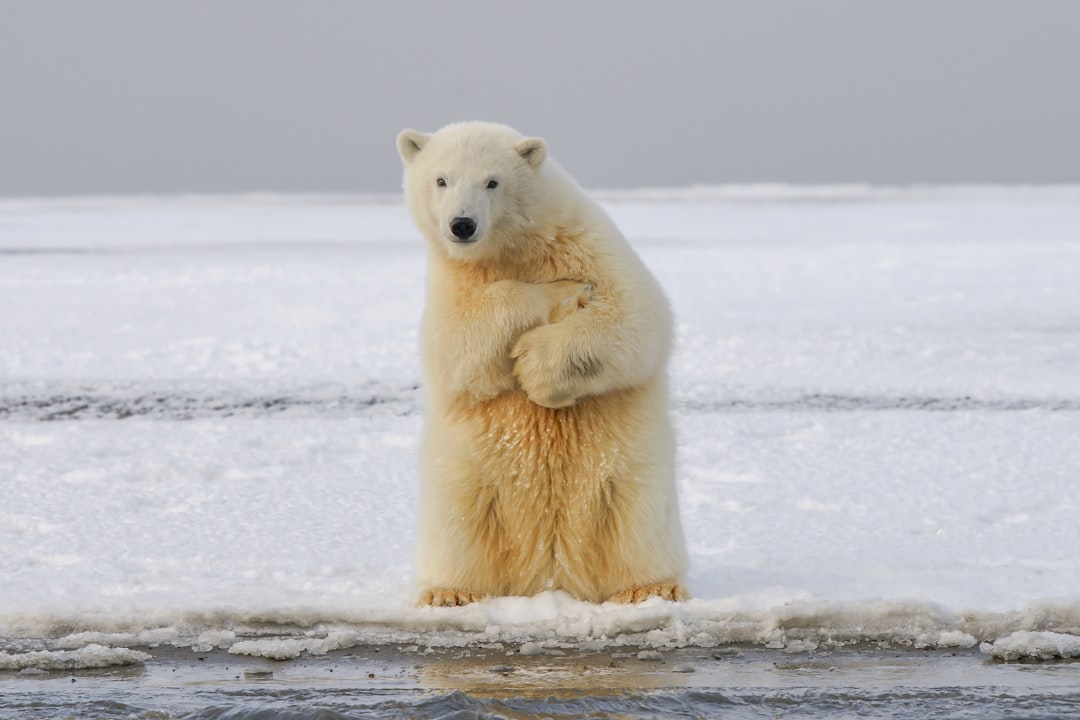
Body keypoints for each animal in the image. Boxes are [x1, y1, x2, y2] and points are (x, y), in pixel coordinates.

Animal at [401, 120, 686, 604]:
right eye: (441, 180)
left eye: (492, 181)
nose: (462, 224)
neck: (517, 247)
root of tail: (550, 576)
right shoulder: (452, 281)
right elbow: (456, 344)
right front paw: (556, 293)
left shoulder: (590, 244)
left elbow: (634, 317)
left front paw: (536, 367)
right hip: (467, 478)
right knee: (459, 523)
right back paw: (450, 593)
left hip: (629, 476)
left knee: (637, 521)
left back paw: (650, 588)